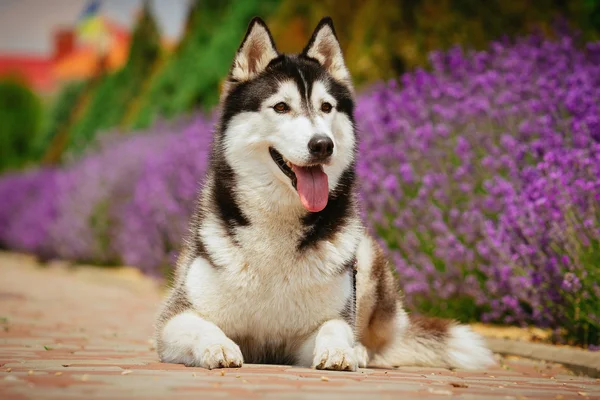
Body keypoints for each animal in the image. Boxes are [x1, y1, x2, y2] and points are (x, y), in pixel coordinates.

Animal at [154, 16, 492, 372]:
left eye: (326, 107)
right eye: (281, 107)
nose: (322, 144)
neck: (277, 231)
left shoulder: (313, 332)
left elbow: (334, 326)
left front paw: (341, 350)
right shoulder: (173, 319)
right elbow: (199, 326)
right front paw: (217, 345)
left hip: (365, 257)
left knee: (376, 342)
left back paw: (360, 350)